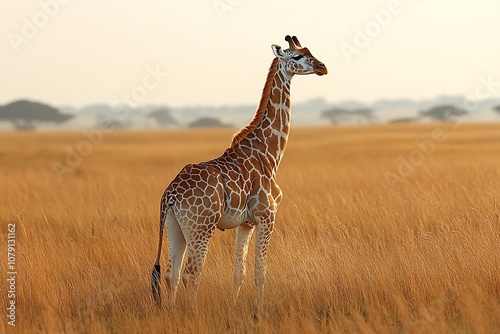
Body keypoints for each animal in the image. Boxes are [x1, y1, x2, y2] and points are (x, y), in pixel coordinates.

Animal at [150, 34, 326, 314]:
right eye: (297, 56)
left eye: (311, 51)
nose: (322, 67)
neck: (269, 154)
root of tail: (171, 195)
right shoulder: (267, 216)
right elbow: (260, 272)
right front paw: (259, 312)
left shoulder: (246, 222)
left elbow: (239, 272)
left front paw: (235, 307)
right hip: (201, 226)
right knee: (191, 273)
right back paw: (194, 314)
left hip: (174, 226)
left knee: (171, 273)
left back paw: (173, 313)